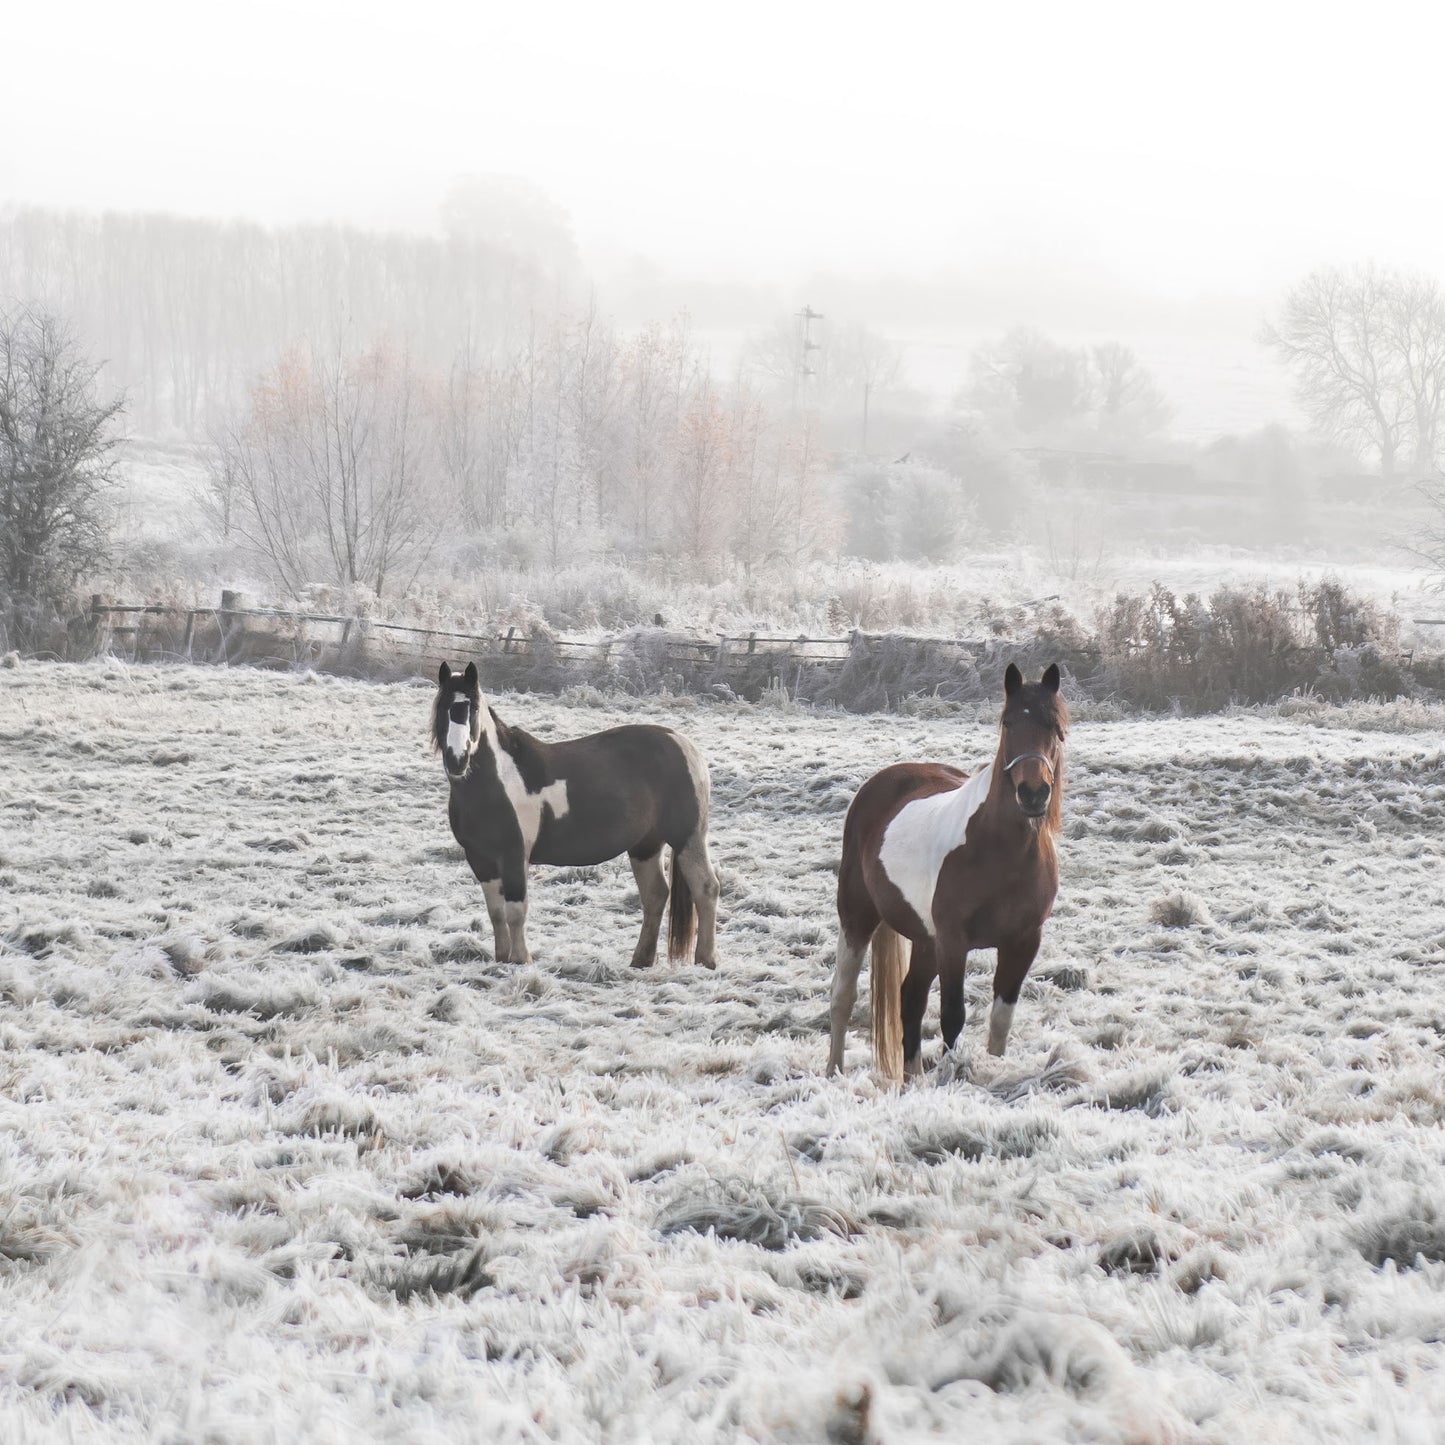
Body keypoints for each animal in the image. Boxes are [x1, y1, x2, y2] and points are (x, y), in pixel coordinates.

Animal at [430, 661, 719, 971]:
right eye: (442, 706)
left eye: (471, 709)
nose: (457, 760)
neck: (497, 781)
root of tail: (686, 746)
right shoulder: (480, 859)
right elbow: (496, 913)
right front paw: (501, 958)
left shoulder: (514, 855)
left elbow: (516, 910)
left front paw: (520, 960)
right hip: (645, 846)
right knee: (655, 895)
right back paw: (640, 960)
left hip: (687, 837)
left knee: (706, 888)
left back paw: (706, 960)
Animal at [832, 664, 1069, 1086]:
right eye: (1008, 723)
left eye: (1055, 728)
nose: (1033, 793)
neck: (999, 851)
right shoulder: (954, 942)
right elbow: (952, 1017)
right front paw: (951, 1077)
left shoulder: (1023, 942)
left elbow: (1000, 1020)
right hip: (858, 917)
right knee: (842, 997)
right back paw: (834, 1071)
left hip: (925, 940)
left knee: (909, 999)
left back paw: (911, 1079)